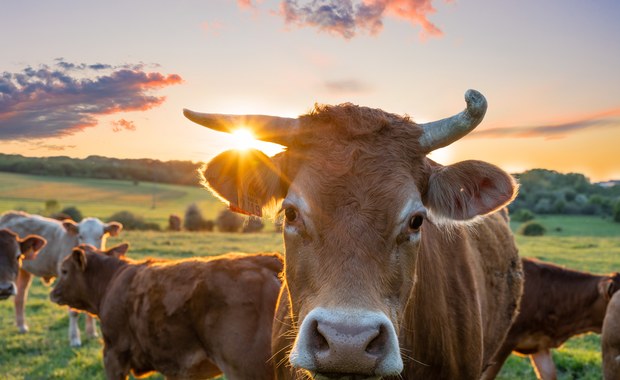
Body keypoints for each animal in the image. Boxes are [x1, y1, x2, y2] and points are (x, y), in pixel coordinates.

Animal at [0, 211, 122, 348]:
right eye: (80, 236)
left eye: (100, 236)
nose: (89, 249)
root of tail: (10, 214)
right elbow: (74, 312)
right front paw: (74, 339)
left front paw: (91, 333)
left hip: (24, 271)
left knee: (20, 297)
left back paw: (21, 326)